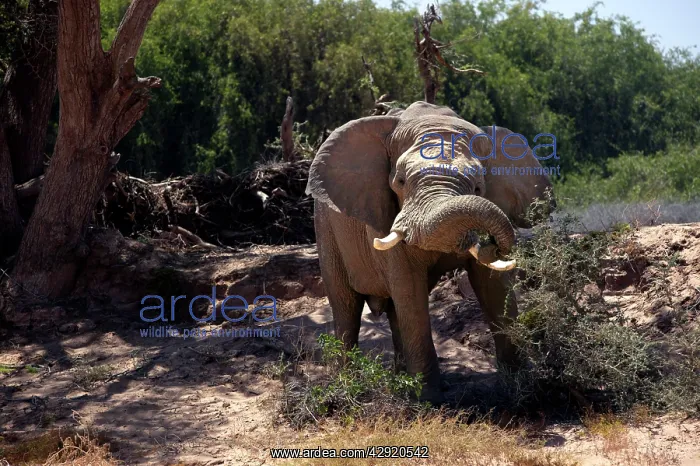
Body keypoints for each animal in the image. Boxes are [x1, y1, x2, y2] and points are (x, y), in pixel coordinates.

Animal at [305, 101, 554, 402]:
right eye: (400, 181)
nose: (492, 242)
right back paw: (347, 384)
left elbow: (494, 287)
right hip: (325, 228)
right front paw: (429, 398)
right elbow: (409, 288)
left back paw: (400, 381)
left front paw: (522, 389)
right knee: (346, 305)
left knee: (392, 309)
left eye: (479, 188)